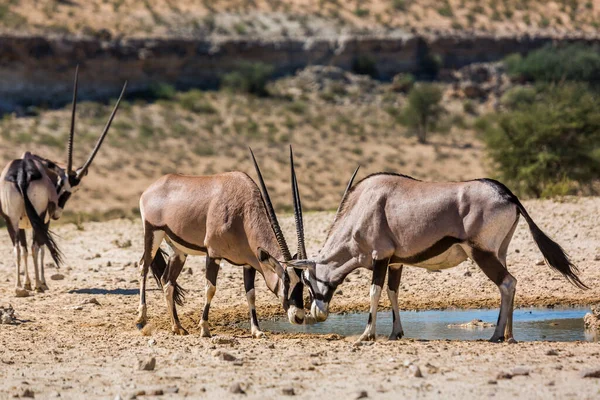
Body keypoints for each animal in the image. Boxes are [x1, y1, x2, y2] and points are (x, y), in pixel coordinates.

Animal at [0, 68, 126, 294]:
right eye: (64, 187)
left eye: (73, 191)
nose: (58, 213)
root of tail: (22, 173)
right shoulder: (45, 219)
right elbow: (40, 248)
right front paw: (40, 282)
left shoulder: (22, 223)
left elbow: (24, 249)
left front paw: (28, 283)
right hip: (39, 218)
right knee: (37, 246)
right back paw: (38, 285)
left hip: (11, 219)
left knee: (18, 249)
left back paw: (18, 288)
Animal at [135, 148, 304, 336]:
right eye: (286, 280)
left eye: (303, 282)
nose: (299, 317)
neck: (243, 213)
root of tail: (150, 189)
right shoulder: (213, 254)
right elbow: (210, 289)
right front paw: (204, 328)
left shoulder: (249, 263)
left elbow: (251, 294)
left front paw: (256, 330)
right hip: (153, 232)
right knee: (143, 266)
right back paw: (142, 318)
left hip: (178, 251)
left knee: (167, 282)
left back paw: (177, 326)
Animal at [264, 170, 588, 342]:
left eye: (306, 280)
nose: (317, 314)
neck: (361, 208)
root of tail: (507, 194)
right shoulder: (395, 262)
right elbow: (393, 293)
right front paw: (395, 333)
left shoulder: (380, 257)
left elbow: (374, 291)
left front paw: (367, 334)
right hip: (500, 251)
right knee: (511, 282)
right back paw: (508, 334)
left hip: (481, 252)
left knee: (507, 283)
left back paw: (497, 335)